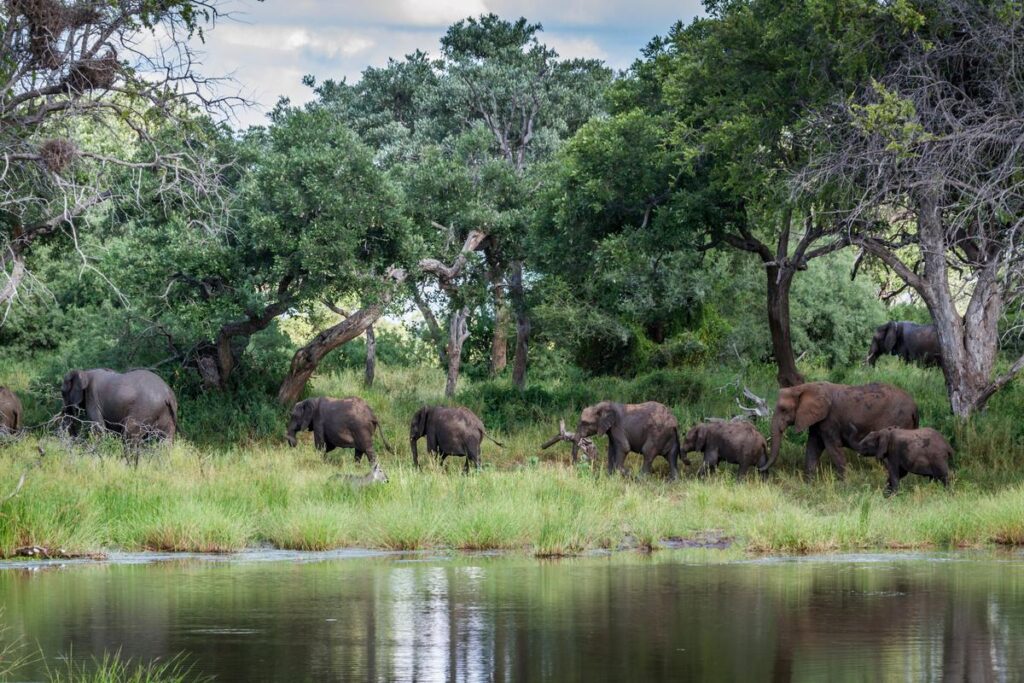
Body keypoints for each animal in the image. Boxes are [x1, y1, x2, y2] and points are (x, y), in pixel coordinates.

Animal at [763, 382, 918, 479]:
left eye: (783, 409)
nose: (762, 469)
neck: (804, 387)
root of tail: (914, 407)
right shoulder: (818, 420)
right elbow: (813, 447)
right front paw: (808, 484)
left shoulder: (830, 421)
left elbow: (833, 448)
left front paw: (843, 486)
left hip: (897, 421)